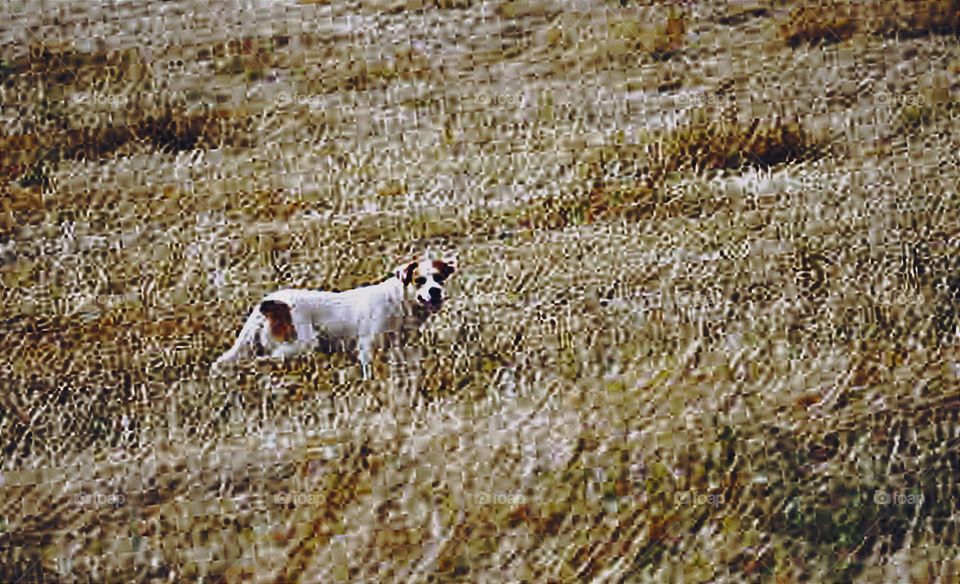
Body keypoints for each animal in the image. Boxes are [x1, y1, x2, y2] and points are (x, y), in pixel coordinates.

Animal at [211, 256, 458, 378]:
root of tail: (272, 302)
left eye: (439, 278)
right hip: (301, 344)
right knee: (262, 361)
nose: (435, 291)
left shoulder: (399, 348)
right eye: (420, 280)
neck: (398, 299)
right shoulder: (367, 346)